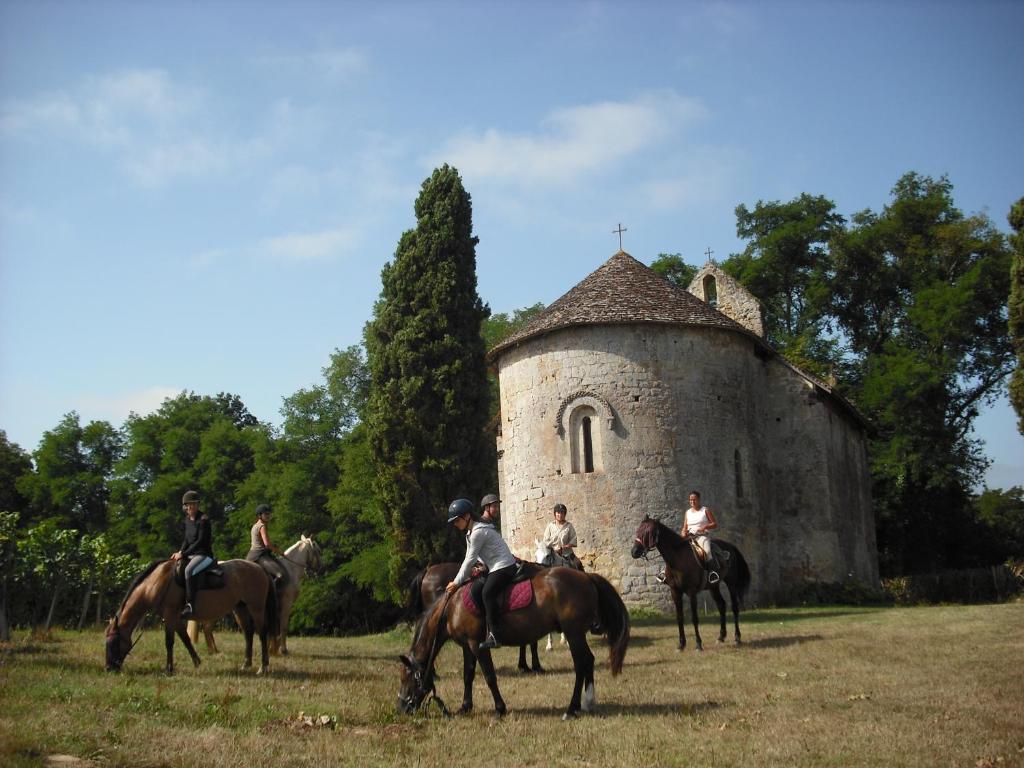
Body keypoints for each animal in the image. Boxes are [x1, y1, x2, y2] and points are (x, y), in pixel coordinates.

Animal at [105, 561, 278, 671]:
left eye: (113, 643)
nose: (109, 668)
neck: (157, 583)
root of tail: (260, 568)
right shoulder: (176, 618)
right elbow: (186, 639)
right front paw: (197, 661)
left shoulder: (170, 615)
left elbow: (169, 642)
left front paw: (169, 668)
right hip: (240, 608)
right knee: (248, 633)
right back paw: (246, 664)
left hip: (256, 608)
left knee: (262, 633)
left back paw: (264, 666)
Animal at [626, 518, 749, 651]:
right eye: (638, 530)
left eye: (648, 532)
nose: (634, 552)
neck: (678, 559)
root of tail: (730, 546)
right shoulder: (675, 592)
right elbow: (679, 617)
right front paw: (681, 644)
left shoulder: (692, 592)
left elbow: (694, 618)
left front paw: (698, 644)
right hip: (713, 586)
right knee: (721, 605)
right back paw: (721, 637)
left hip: (731, 583)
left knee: (735, 608)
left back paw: (737, 638)